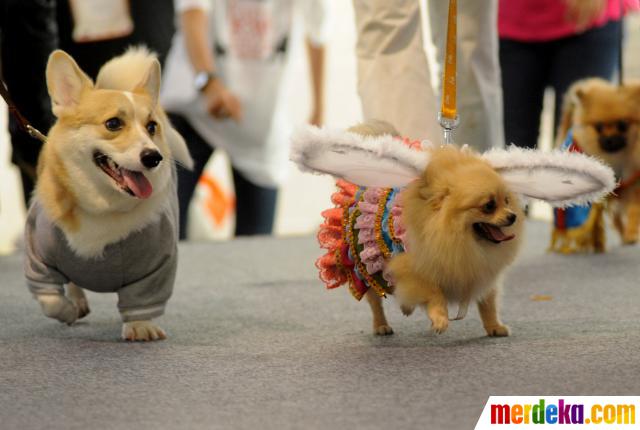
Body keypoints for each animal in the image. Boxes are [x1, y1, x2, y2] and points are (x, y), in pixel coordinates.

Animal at [24, 47, 192, 340]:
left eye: (152, 127)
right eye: (113, 124)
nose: (154, 157)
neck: (103, 205)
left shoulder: (156, 266)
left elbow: (141, 300)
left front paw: (141, 327)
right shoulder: (38, 261)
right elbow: (51, 300)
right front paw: (68, 311)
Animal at [556, 77, 640, 245]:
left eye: (622, 125)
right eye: (599, 127)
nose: (610, 140)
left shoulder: (634, 184)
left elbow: (634, 210)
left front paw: (632, 234)